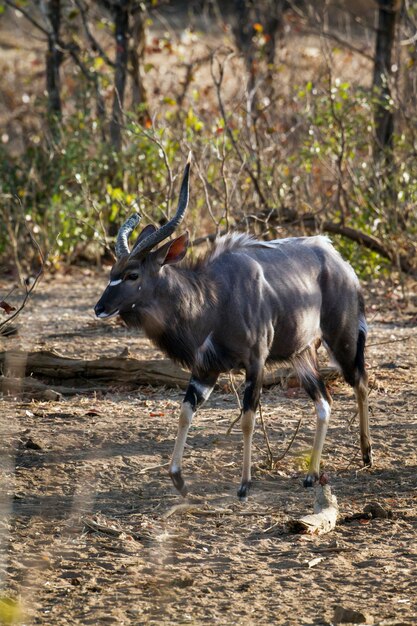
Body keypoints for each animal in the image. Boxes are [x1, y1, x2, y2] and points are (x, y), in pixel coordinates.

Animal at [94, 154, 370, 500]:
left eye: (132, 274)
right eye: (112, 272)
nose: (99, 308)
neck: (212, 298)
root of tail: (343, 264)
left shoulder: (255, 362)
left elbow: (248, 419)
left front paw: (244, 483)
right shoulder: (205, 370)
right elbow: (185, 412)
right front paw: (178, 478)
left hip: (341, 339)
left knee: (360, 381)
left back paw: (366, 454)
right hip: (302, 355)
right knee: (324, 402)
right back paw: (311, 475)